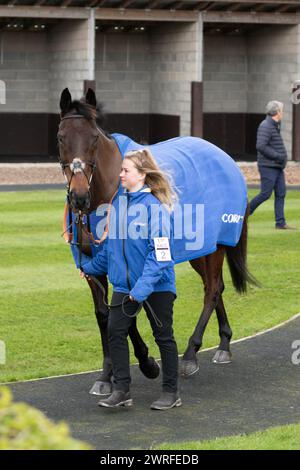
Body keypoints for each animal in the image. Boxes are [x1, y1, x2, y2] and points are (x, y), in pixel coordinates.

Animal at [57, 86, 256, 394]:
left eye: (93, 138)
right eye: (60, 137)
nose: (78, 196)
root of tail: (226, 158)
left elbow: (125, 309)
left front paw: (147, 362)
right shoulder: (92, 266)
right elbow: (104, 314)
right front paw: (106, 375)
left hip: (216, 244)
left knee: (212, 290)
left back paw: (191, 354)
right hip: (200, 250)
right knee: (216, 286)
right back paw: (224, 342)